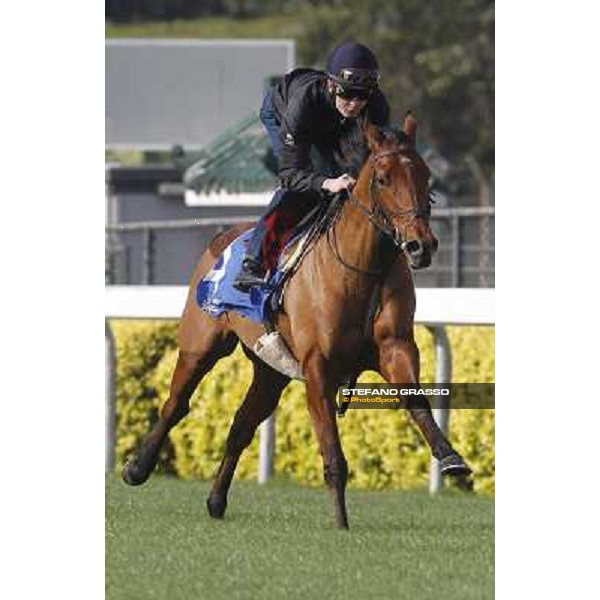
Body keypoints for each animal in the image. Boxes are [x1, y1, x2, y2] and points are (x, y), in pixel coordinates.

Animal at [124, 116, 472, 528]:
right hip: (201, 345)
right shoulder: (318, 366)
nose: (421, 245)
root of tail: (221, 236)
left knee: (240, 426)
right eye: (384, 178)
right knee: (176, 404)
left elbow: (415, 398)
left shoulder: (395, 347)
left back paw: (216, 501)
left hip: (271, 370)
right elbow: (332, 452)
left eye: (425, 174)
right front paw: (341, 523)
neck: (362, 269)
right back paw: (138, 469)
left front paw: (450, 458)